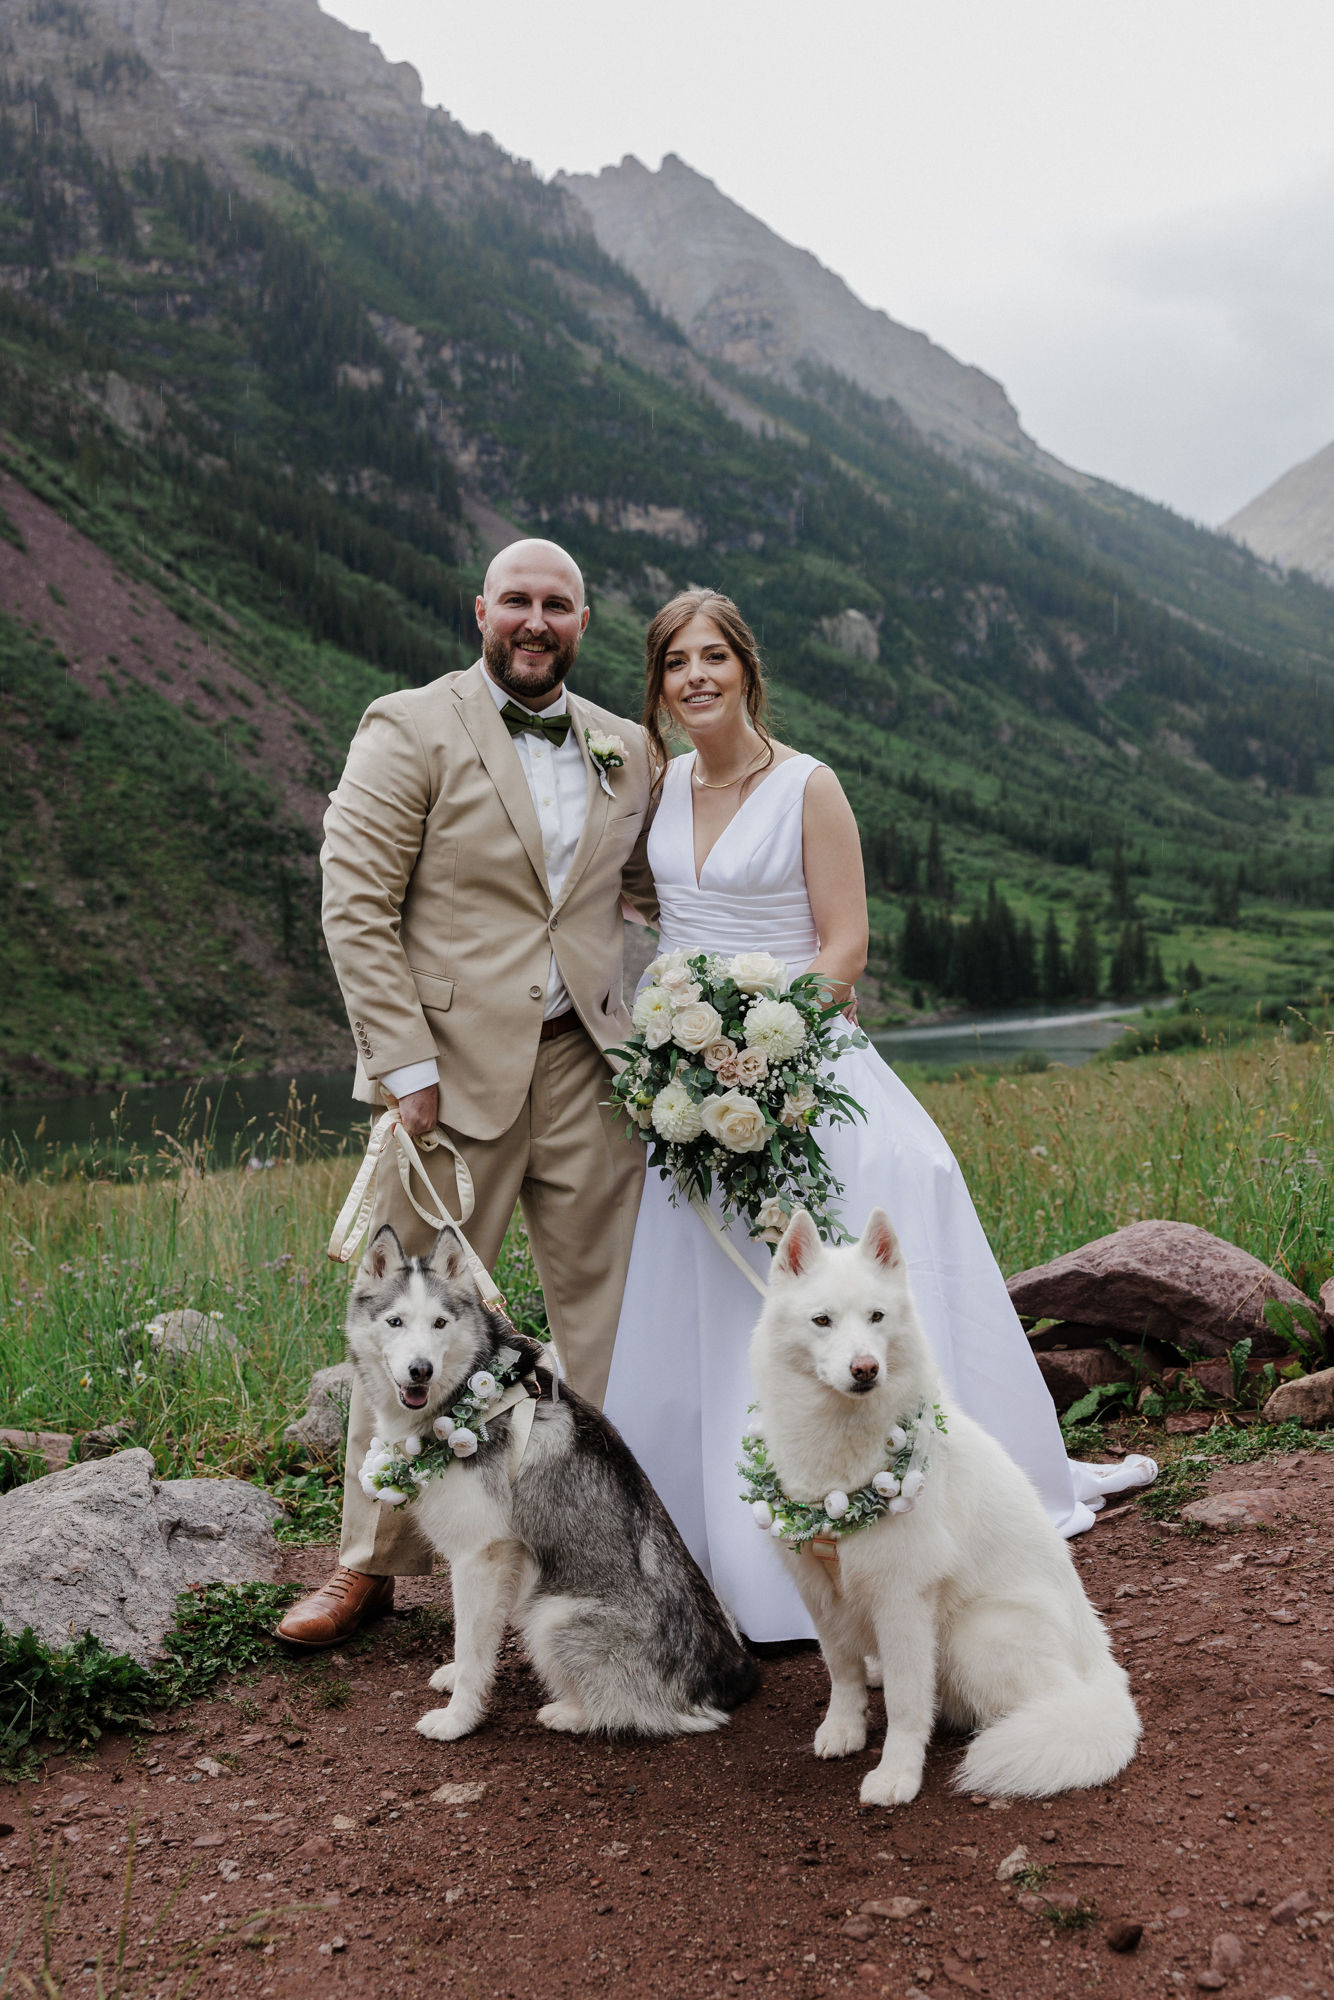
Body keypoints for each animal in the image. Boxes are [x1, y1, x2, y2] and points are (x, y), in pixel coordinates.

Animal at [348, 1216, 760, 1736]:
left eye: (440, 1323)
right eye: (395, 1322)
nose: (420, 1371)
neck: (468, 1399)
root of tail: (728, 1675)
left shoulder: (480, 1555)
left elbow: (472, 1644)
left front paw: (459, 1718)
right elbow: (472, 1642)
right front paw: (455, 1678)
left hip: (551, 1615)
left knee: (647, 1712)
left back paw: (568, 1712)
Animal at [748, 1208, 1144, 1808]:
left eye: (877, 1316)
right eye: (822, 1321)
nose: (865, 1369)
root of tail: (1102, 1672)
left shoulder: (903, 1598)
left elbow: (909, 1702)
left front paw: (897, 1774)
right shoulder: (818, 1592)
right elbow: (840, 1671)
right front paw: (844, 1728)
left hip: (974, 1635)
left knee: (1041, 1704)